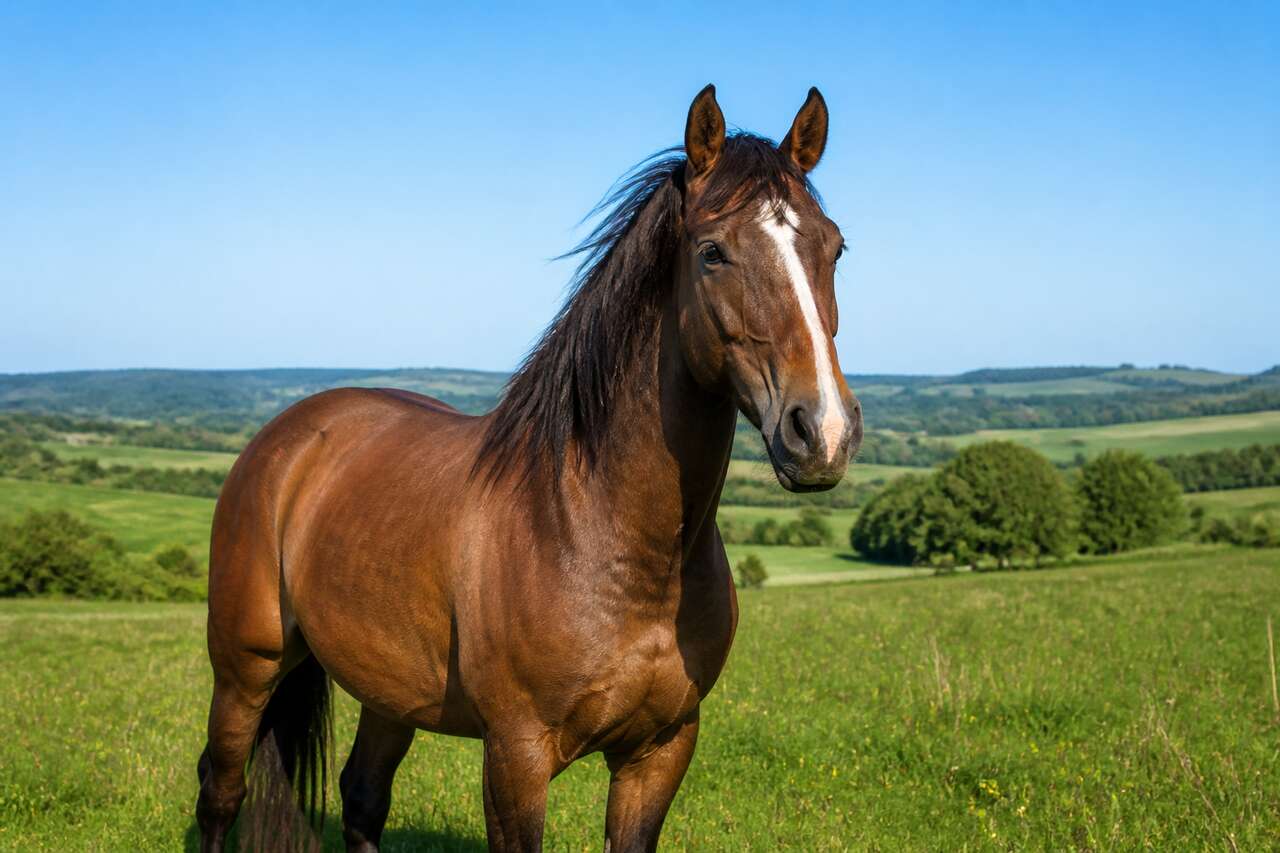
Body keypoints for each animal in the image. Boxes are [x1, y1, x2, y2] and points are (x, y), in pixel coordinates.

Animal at [196, 83, 863, 852]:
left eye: (834, 247)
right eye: (713, 253)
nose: (823, 432)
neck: (600, 533)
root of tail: (285, 437)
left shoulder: (660, 751)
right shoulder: (516, 755)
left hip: (388, 691)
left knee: (361, 797)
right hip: (245, 669)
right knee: (220, 791)